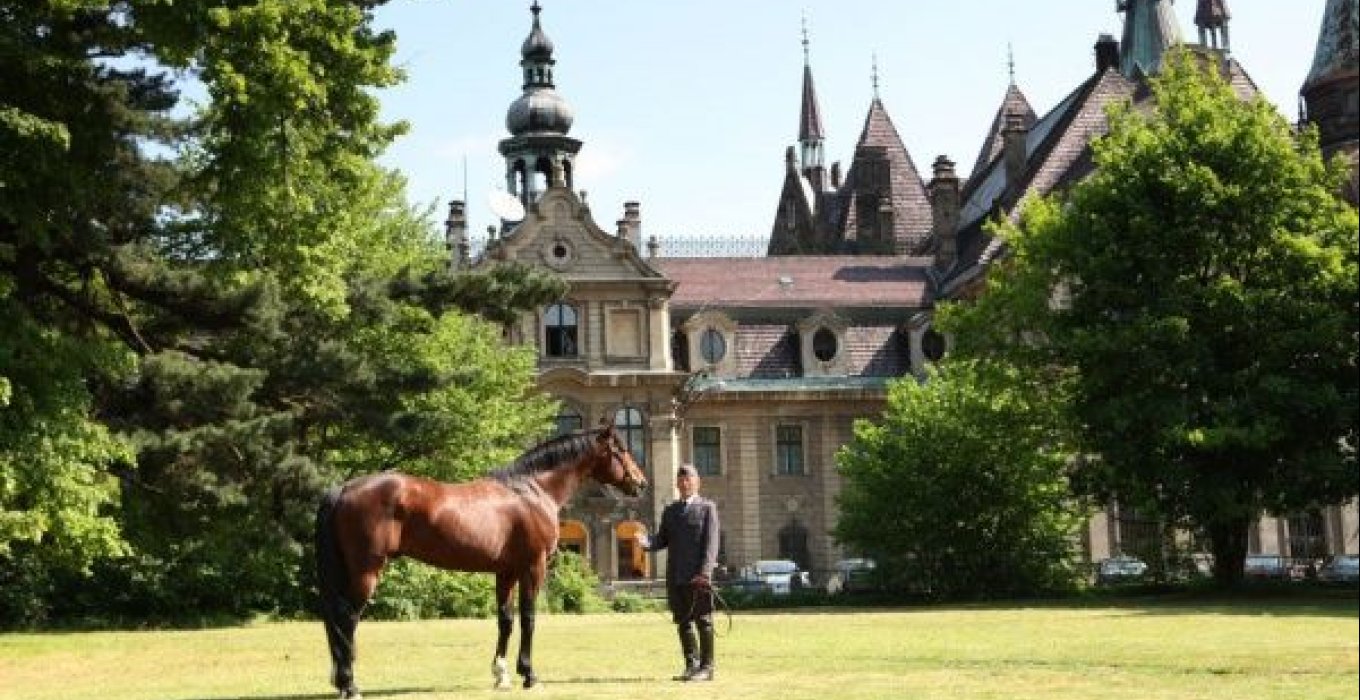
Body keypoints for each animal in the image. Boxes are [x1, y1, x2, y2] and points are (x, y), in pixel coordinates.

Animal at [315, 424, 644, 695]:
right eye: (621, 450)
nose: (640, 483)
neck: (532, 490)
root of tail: (343, 489)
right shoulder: (533, 567)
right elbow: (529, 617)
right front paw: (529, 675)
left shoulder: (506, 572)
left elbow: (506, 620)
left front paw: (502, 675)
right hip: (367, 570)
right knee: (347, 617)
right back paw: (350, 685)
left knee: (336, 619)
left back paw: (340, 680)